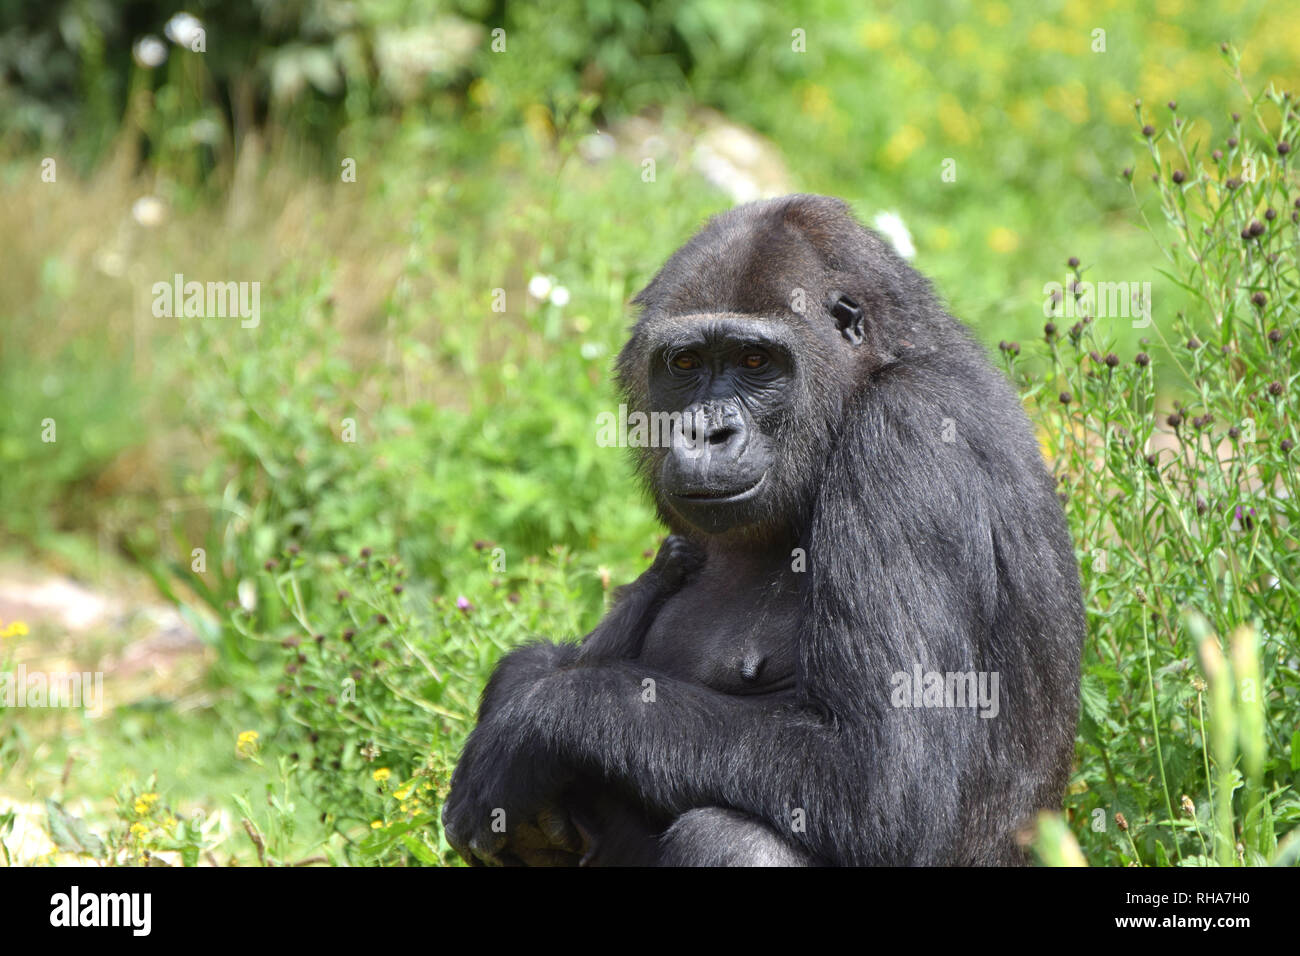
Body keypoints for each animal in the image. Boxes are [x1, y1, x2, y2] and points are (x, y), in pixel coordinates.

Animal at [441, 195, 1081, 868]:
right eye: (685, 364)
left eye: (755, 361)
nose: (707, 433)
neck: (874, 371)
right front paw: (523, 685)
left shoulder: (907, 439)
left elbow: (880, 779)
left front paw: (528, 725)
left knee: (732, 839)